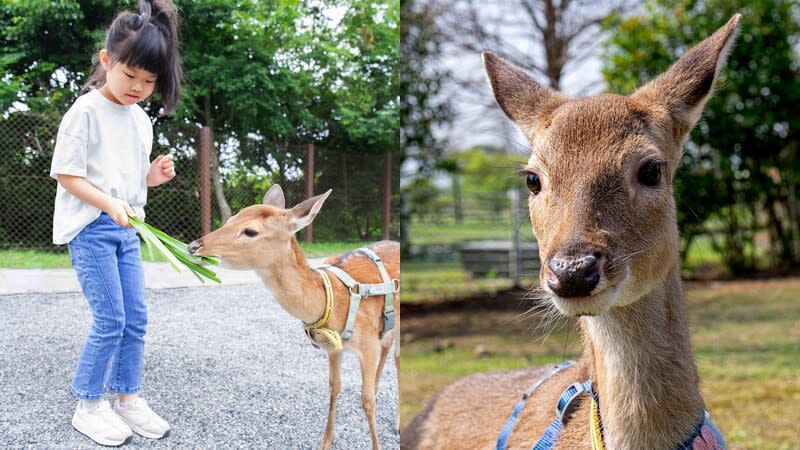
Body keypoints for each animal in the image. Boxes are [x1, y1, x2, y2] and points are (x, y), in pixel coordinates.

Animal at [188, 184, 400, 450]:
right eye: (230, 219)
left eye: (250, 231)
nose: (193, 246)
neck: (331, 299)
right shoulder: (334, 347)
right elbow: (334, 387)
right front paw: (326, 441)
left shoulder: (368, 341)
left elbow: (367, 401)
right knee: (388, 346)